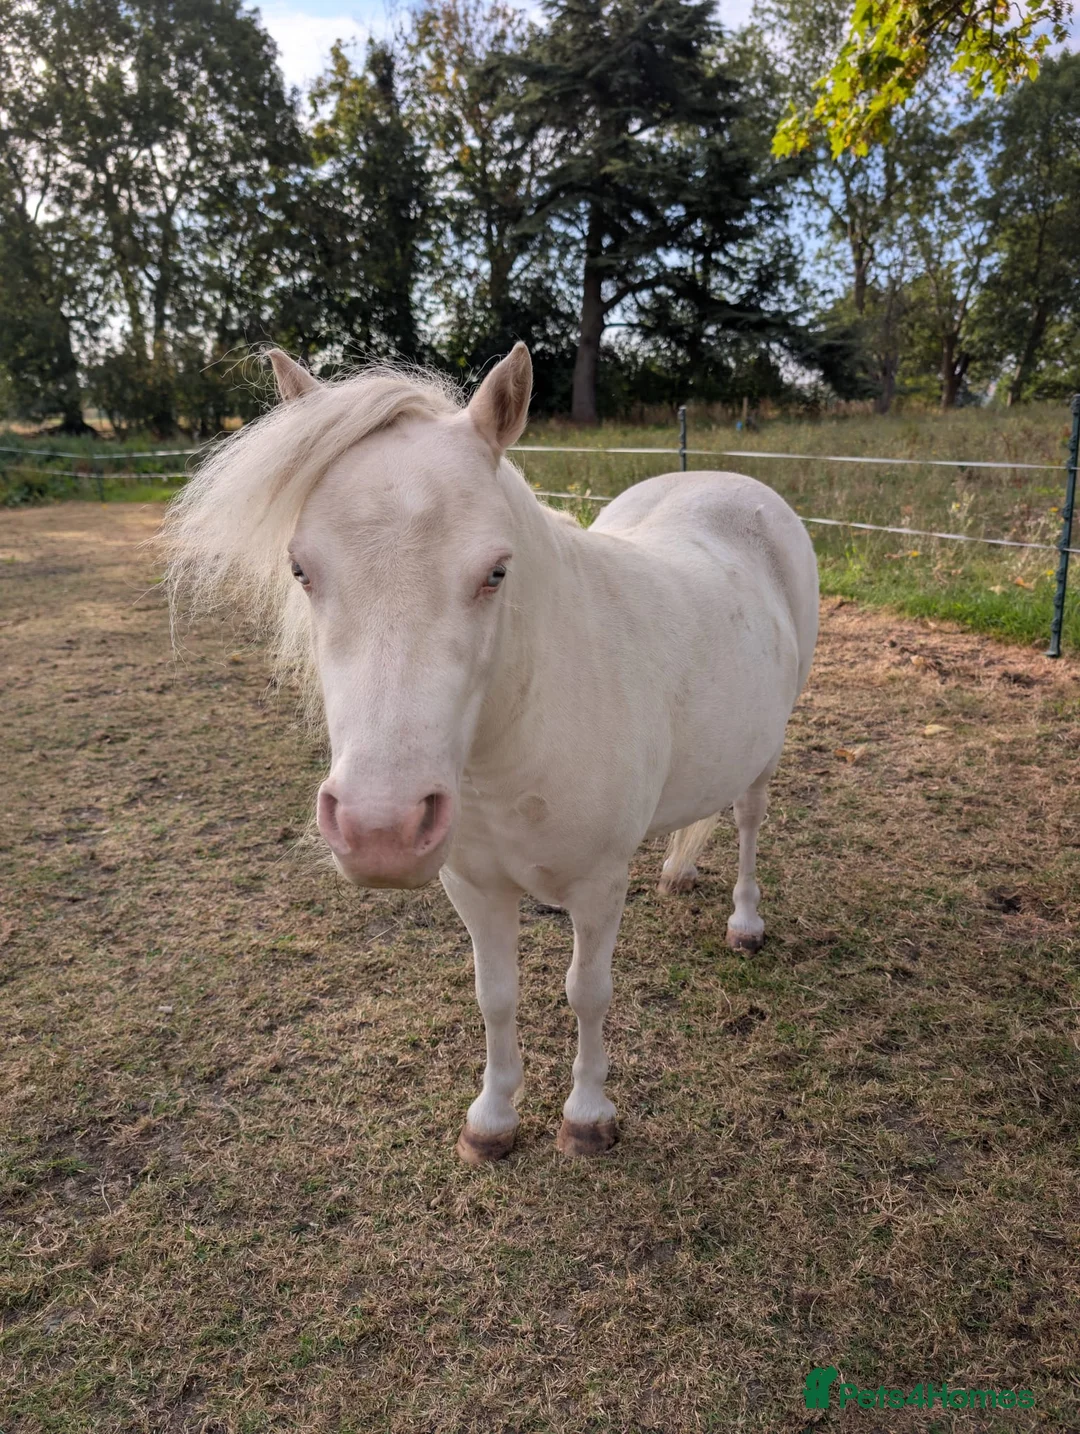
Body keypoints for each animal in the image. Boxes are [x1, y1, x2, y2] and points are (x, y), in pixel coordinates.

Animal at [163, 343, 818, 1163]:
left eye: (496, 572)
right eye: (301, 571)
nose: (380, 830)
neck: (515, 741)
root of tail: (731, 482)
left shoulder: (598, 886)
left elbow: (587, 992)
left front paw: (587, 1116)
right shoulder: (472, 885)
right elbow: (495, 994)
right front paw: (494, 1119)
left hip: (768, 749)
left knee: (750, 821)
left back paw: (745, 923)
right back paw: (678, 871)